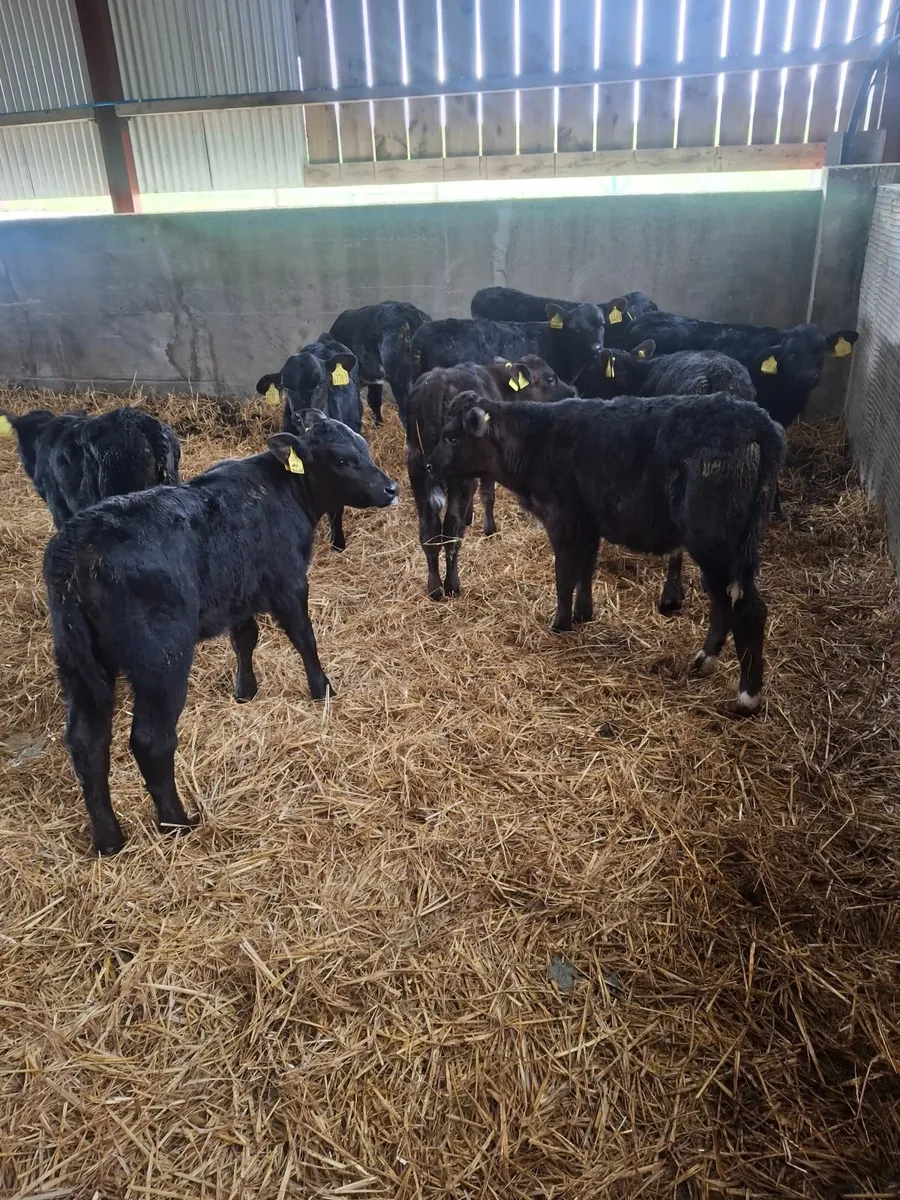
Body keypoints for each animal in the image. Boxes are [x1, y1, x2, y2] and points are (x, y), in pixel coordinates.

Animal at [43, 409, 400, 856]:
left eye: (363, 448)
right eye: (342, 460)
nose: (392, 488)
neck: (281, 491)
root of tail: (77, 546)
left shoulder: (237, 593)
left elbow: (244, 639)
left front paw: (245, 691)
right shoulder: (288, 583)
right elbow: (304, 638)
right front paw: (322, 688)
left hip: (78, 663)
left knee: (87, 744)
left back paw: (109, 839)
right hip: (161, 660)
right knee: (150, 739)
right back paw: (177, 823)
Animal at [407, 356, 574, 599]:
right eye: (550, 378)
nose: (571, 392)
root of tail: (436, 384)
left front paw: (470, 515)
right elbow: (487, 494)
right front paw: (489, 529)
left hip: (417, 468)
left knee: (429, 529)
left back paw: (435, 588)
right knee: (451, 528)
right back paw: (452, 585)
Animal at [429, 391, 784, 716]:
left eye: (452, 435)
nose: (430, 464)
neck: (536, 441)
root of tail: (757, 420)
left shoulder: (562, 520)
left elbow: (564, 575)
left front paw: (560, 623)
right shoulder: (589, 523)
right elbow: (585, 568)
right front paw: (583, 613)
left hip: (715, 543)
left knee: (748, 609)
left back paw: (747, 697)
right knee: (723, 601)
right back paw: (705, 659)